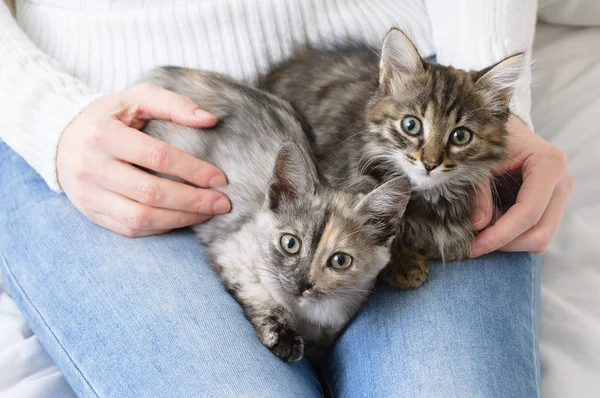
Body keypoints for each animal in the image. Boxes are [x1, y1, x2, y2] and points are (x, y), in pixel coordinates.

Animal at [141, 67, 412, 360]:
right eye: (290, 243)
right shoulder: (233, 250)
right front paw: (283, 336)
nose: (303, 283)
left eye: (341, 261)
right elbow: (259, 291)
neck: (310, 316)